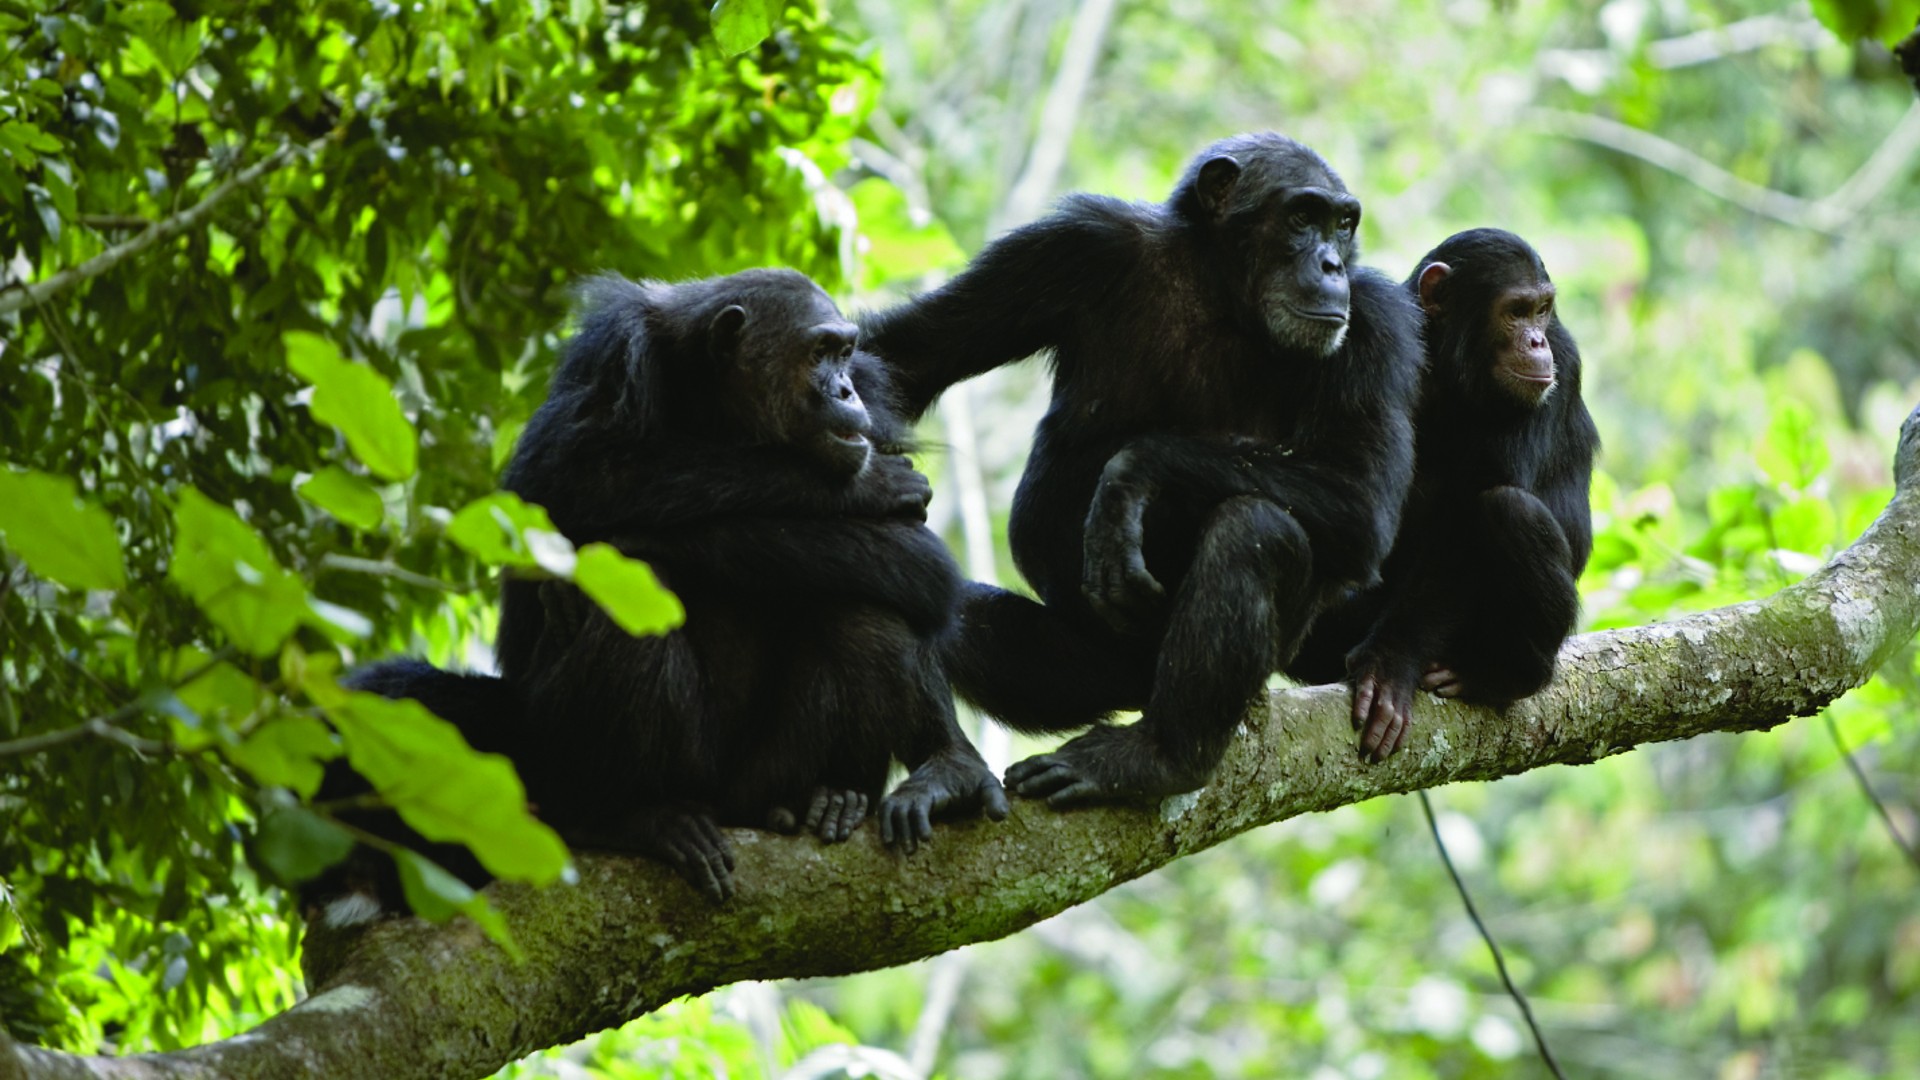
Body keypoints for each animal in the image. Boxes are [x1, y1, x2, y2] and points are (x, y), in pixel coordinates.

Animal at [856, 130, 1428, 799]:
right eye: (1302, 217)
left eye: (1342, 224)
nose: (1332, 264)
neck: (1222, 290)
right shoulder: (1071, 245)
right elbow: (905, 358)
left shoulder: (1377, 324)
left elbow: (1361, 499)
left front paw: (1130, 476)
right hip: (1082, 669)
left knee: (1256, 530)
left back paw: (1158, 757)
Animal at [1297, 226, 1597, 757]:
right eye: (1516, 311)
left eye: (1542, 310)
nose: (1536, 340)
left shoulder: (1561, 359)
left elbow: (1467, 518)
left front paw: (1390, 663)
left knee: (1508, 510)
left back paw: (1505, 674)